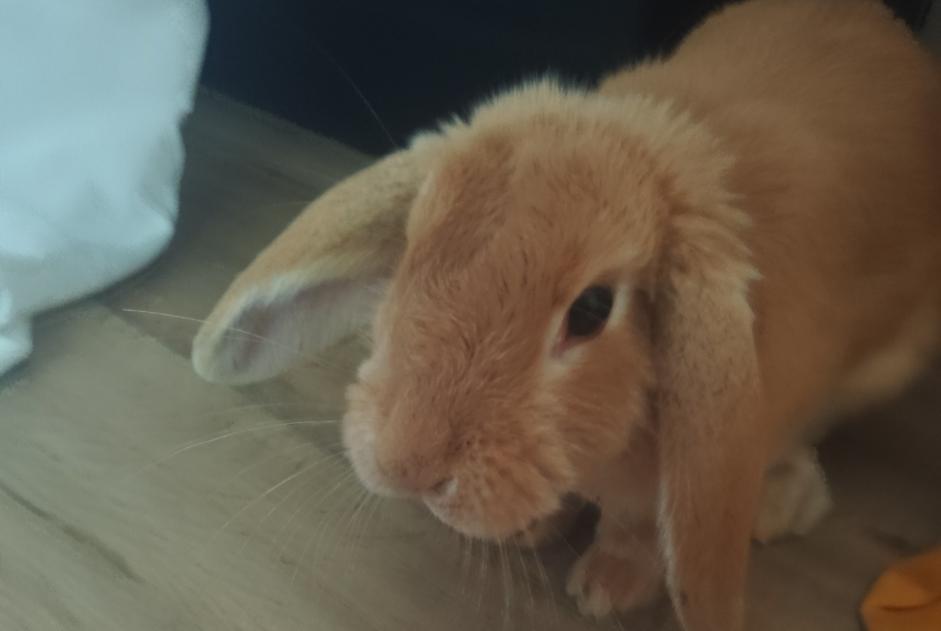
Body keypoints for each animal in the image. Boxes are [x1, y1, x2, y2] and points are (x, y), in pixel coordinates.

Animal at [191, 1, 941, 629]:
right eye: (409, 246)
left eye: (591, 309)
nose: (406, 466)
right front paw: (532, 528)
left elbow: (640, 523)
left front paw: (605, 587)